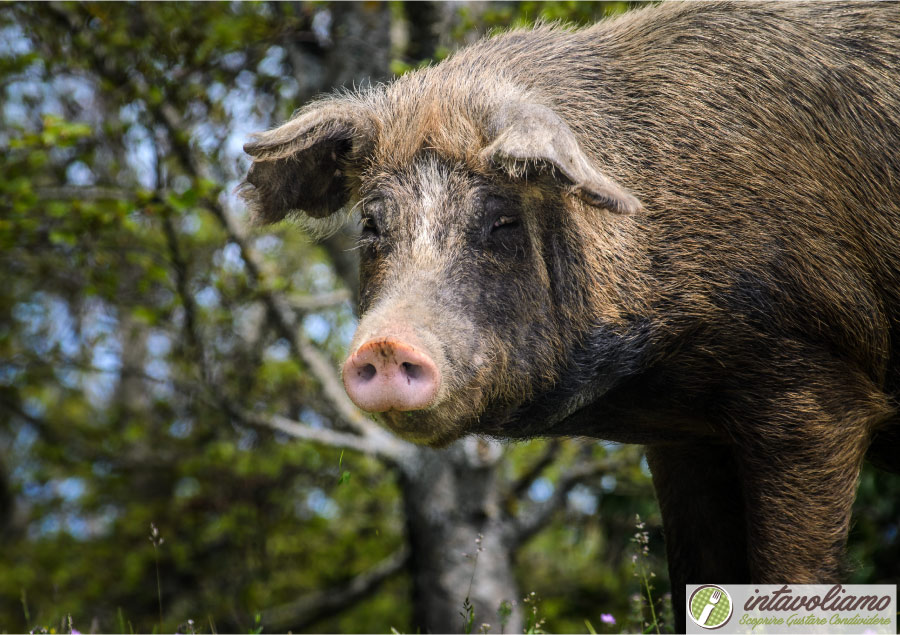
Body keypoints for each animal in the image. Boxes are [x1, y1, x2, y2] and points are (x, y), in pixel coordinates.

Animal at [241, 3, 900, 632]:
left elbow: (792, 577)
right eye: (372, 224)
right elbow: (696, 574)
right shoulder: (686, 435)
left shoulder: (813, 390)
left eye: (503, 221)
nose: (384, 344)